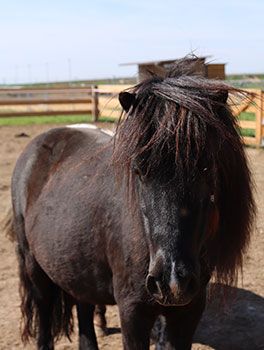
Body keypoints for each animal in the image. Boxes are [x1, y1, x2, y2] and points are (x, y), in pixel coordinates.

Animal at [7, 60, 255, 350]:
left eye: (207, 168)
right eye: (138, 170)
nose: (172, 281)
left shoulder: (189, 311)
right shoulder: (133, 312)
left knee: (83, 310)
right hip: (34, 266)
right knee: (44, 313)